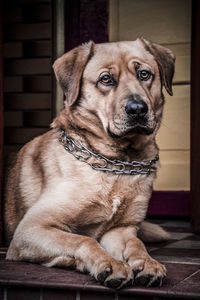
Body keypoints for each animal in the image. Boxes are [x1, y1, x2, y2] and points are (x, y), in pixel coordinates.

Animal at [3, 38, 174, 290]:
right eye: (106, 79)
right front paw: (109, 264)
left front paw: (147, 262)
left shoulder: (120, 230)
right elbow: (82, 240)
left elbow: (136, 244)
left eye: (144, 74)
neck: (116, 163)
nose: (137, 109)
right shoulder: (31, 229)